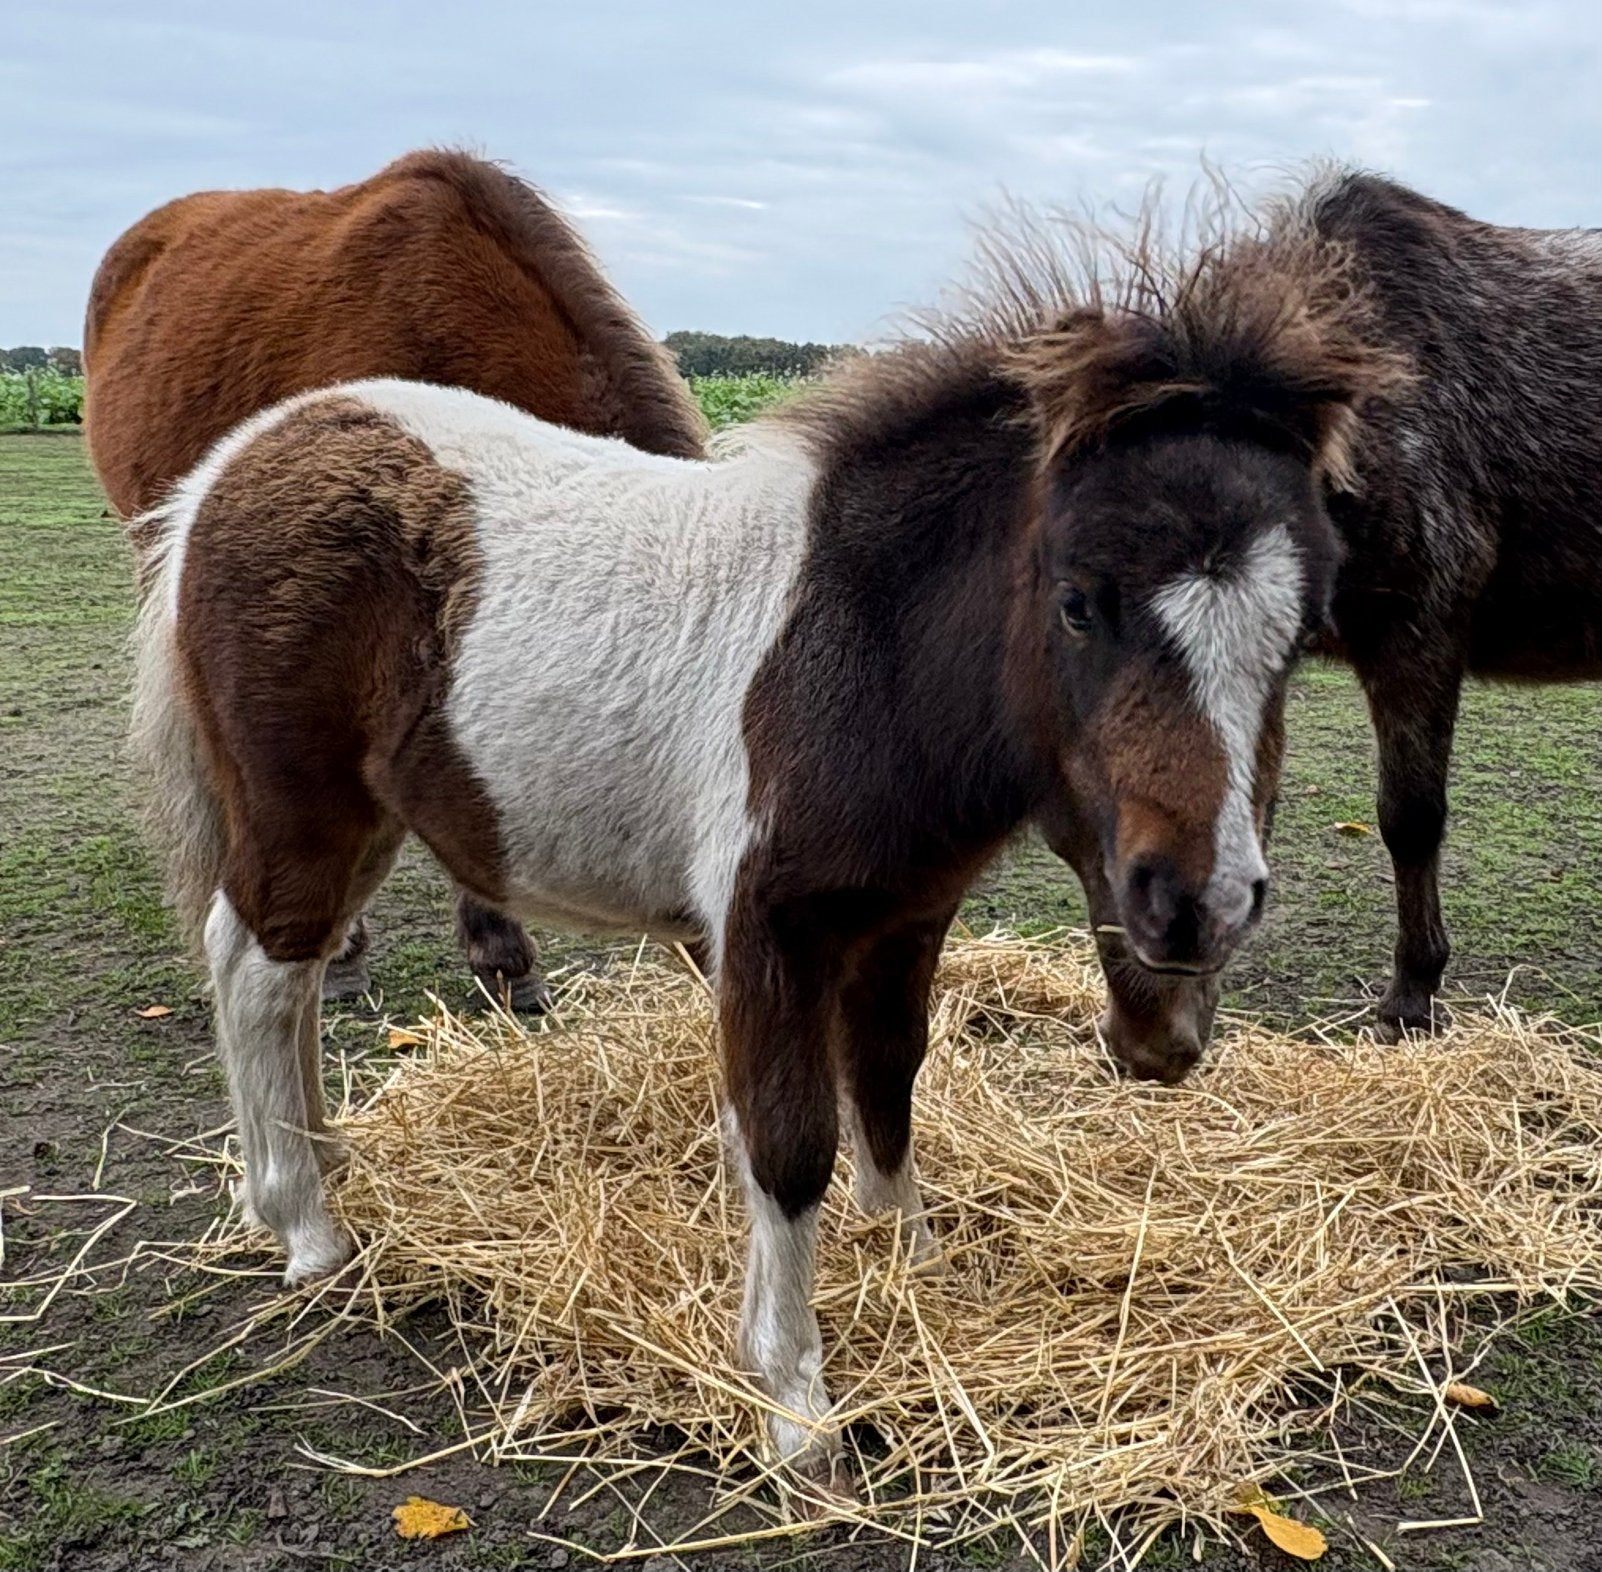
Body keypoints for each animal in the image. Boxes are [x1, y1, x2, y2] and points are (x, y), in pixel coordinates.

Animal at [127, 212, 1398, 1486]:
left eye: (1303, 634)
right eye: (1081, 602)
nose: (1199, 906)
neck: (859, 642)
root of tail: (231, 468)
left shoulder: (904, 917)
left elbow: (888, 1075)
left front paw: (910, 1254)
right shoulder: (766, 927)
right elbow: (790, 1145)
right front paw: (795, 1403)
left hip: (368, 821)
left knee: (281, 975)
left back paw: (322, 1165)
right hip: (304, 811)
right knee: (257, 971)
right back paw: (305, 1223)